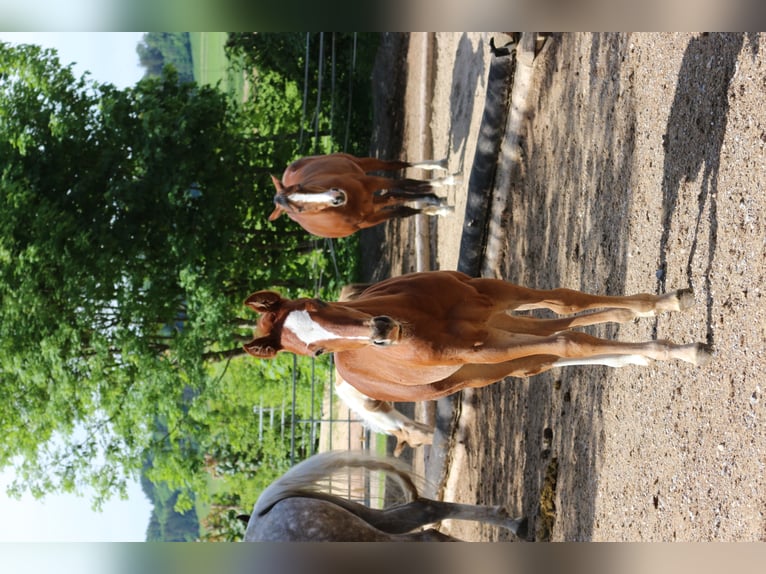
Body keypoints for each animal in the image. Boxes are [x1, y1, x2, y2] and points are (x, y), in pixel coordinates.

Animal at [242, 270, 712, 402]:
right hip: (487, 364)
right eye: (316, 352)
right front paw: (686, 350)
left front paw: (669, 303)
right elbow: (570, 340)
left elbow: (567, 301)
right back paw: (649, 353)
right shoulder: (487, 349)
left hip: (498, 323)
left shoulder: (492, 292)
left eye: (316, 301)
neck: (420, 323)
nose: (381, 329)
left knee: (560, 326)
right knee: (552, 350)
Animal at [267, 153, 457, 238]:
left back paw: (440, 166)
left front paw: (446, 183)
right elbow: (404, 211)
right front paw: (439, 206)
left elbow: (405, 183)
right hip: (374, 203)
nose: (336, 197)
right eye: (299, 210)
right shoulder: (370, 219)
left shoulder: (371, 181)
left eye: (300, 186)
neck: (346, 208)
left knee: (397, 165)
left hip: (361, 163)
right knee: (394, 196)